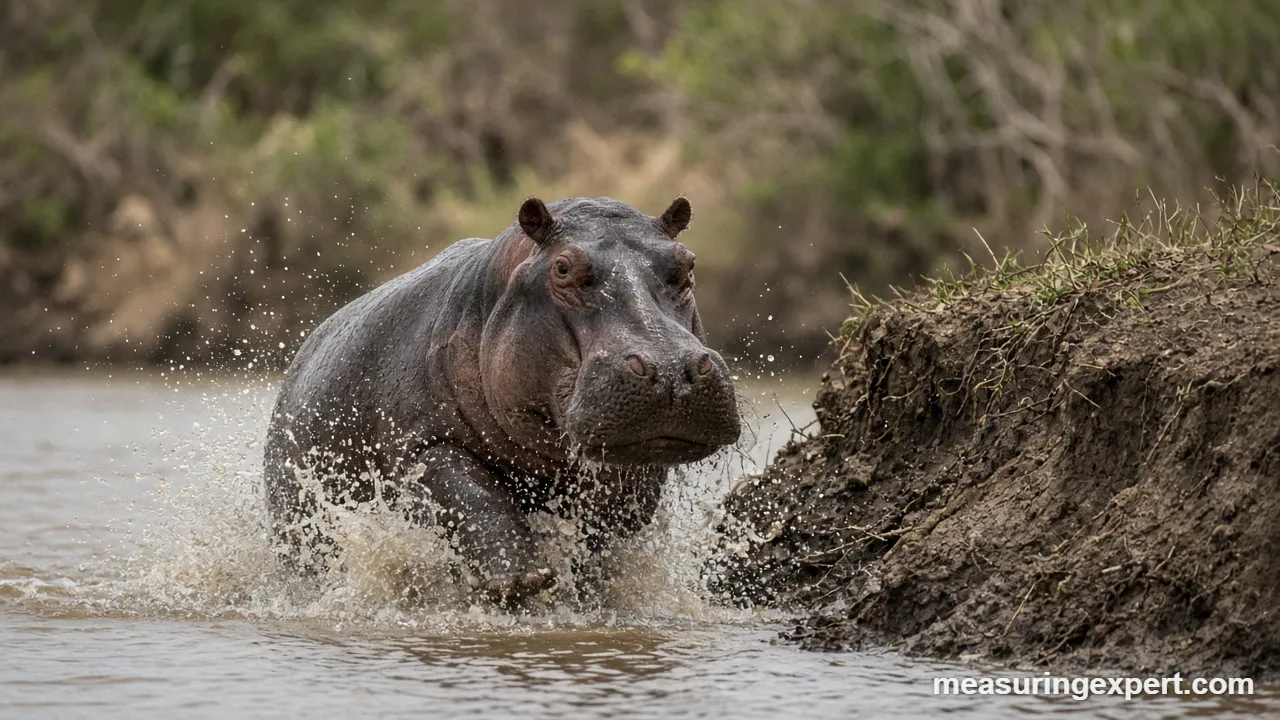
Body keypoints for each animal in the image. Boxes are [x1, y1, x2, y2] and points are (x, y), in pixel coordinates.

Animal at [263, 196, 741, 599]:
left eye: (686, 265)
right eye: (562, 268)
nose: (670, 369)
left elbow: (603, 534)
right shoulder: (422, 444)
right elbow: (472, 496)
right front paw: (517, 583)